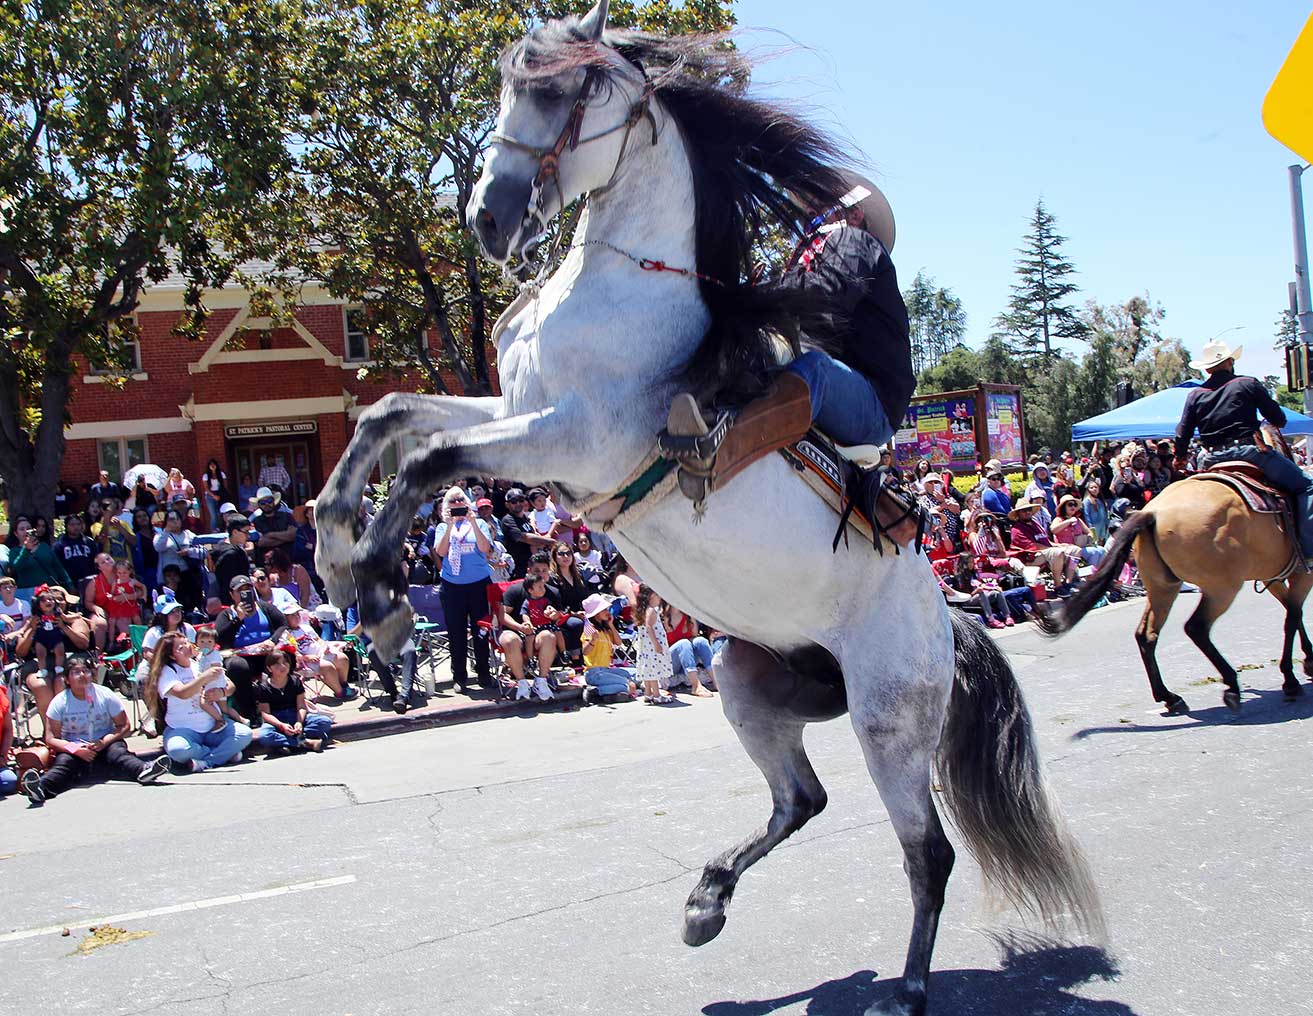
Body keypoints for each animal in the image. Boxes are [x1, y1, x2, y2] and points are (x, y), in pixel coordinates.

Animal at [312, 3, 1102, 1013]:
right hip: (745, 681)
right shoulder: (514, 411)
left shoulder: (571, 441)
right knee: (801, 800)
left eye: (571, 87)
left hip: (888, 721)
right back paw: (706, 901)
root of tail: (947, 621)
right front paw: (335, 551)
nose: (487, 217)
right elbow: (390, 417)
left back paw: (905, 989)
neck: (619, 285)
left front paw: (377, 599)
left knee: (925, 853)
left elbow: (425, 458)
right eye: (508, 81)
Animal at [1039, 464, 1307, 714]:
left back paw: (1169, 697)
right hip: (1222, 587)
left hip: (1163, 587)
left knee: (1146, 635)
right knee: (1196, 628)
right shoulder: (1303, 573)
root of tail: (1153, 512)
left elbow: (1293, 613)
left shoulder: (1276, 575)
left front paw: (1306, 662)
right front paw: (1293, 676)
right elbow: (1293, 616)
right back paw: (1230, 685)